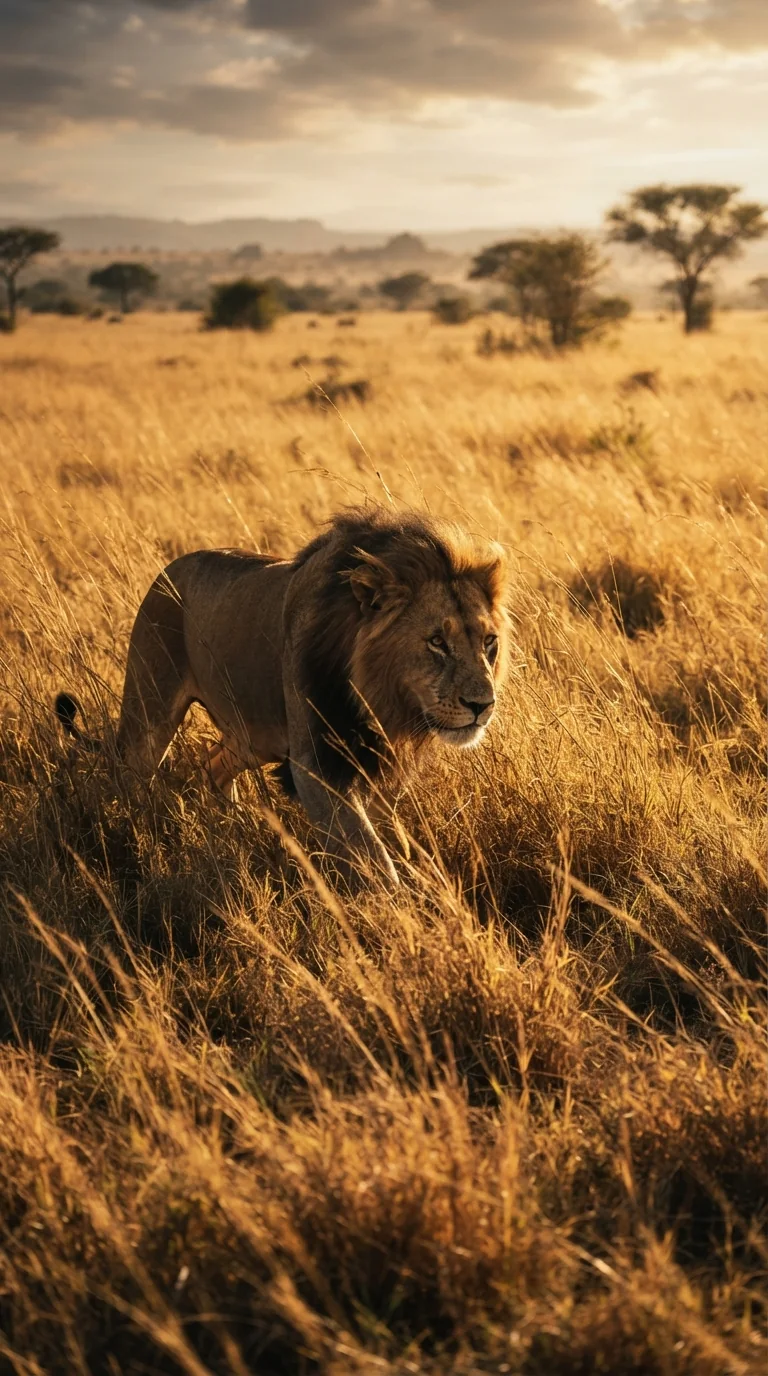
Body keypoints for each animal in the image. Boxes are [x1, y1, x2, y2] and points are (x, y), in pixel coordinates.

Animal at [56, 507, 509, 885]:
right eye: (437, 642)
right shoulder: (315, 765)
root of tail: (170, 567)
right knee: (127, 775)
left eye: (489, 642)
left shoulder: (380, 766)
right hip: (150, 712)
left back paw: (235, 823)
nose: (482, 706)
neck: (381, 702)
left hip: (251, 737)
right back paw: (132, 832)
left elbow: (394, 841)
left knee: (212, 766)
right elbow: (370, 853)